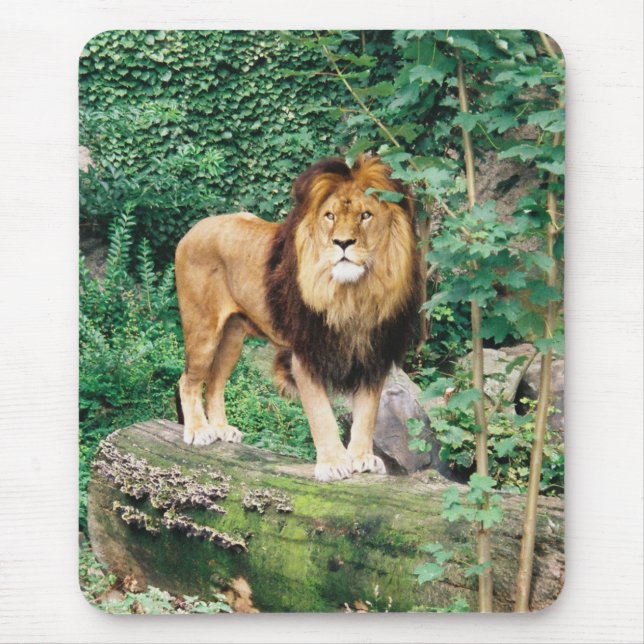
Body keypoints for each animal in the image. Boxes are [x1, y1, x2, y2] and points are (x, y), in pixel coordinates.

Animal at [175, 155, 421, 482]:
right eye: (330, 216)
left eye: (366, 215)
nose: (343, 243)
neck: (354, 293)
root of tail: (194, 229)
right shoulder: (305, 355)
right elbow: (321, 413)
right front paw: (333, 463)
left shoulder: (372, 356)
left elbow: (367, 415)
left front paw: (362, 458)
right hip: (202, 328)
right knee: (188, 380)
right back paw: (199, 430)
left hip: (233, 336)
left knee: (214, 382)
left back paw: (222, 429)